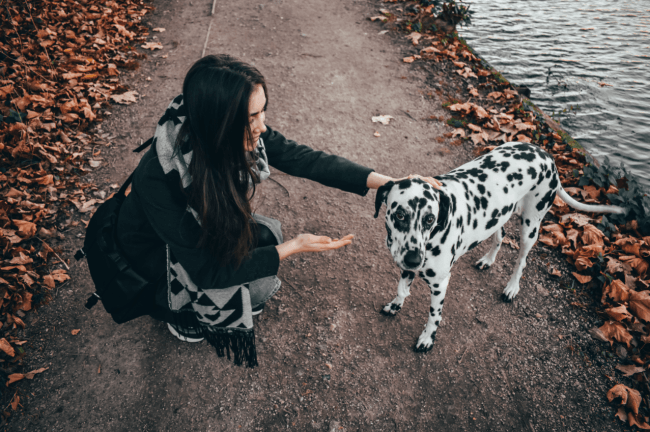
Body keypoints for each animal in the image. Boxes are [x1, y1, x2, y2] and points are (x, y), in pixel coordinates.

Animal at [372, 142, 624, 352]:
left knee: (521, 260)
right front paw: (395, 305)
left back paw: (512, 287)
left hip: (530, 227)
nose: (414, 259)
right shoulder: (407, 266)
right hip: (497, 216)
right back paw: (488, 260)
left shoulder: (440, 283)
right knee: (499, 236)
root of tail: (547, 156)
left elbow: (434, 316)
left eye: (429, 219)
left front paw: (427, 338)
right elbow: (401, 289)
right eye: (400, 214)